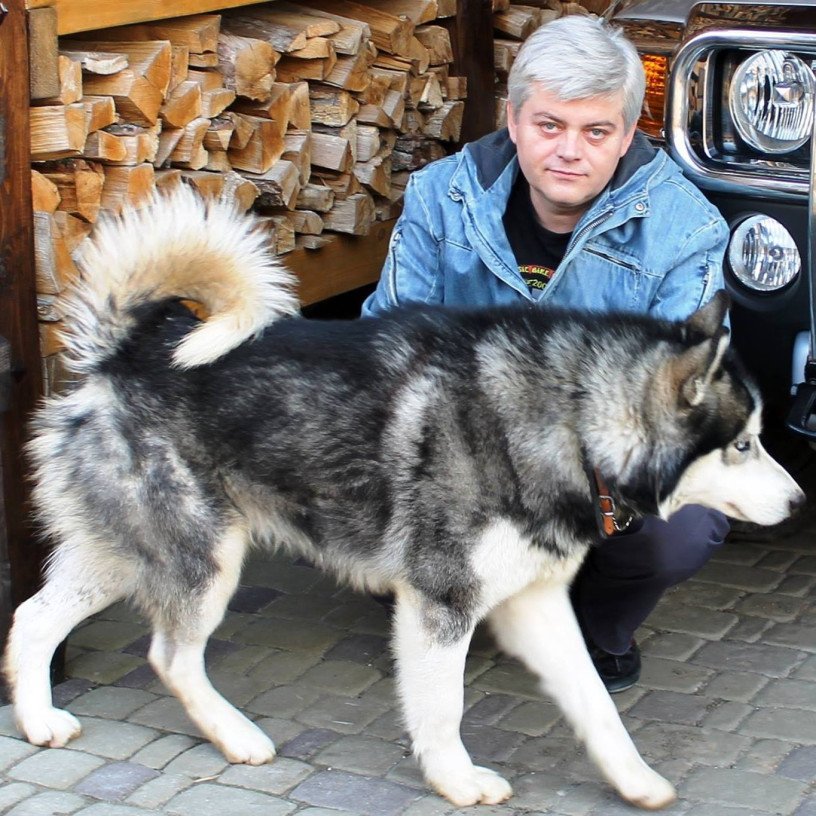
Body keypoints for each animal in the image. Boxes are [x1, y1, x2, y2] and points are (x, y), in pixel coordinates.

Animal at [4, 190, 804, 808]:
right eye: (744, 444)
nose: (798, 502)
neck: (569, 423)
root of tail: (128, 350)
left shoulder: (535, 602)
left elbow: (597, 705)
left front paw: (636, 781)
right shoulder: (441, 601)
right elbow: (444, 707)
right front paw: (458, 781)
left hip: (120, 553)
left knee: (32, 617)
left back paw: (39, 720)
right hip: (203, 559)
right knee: (170, 655)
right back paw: (238, 737)